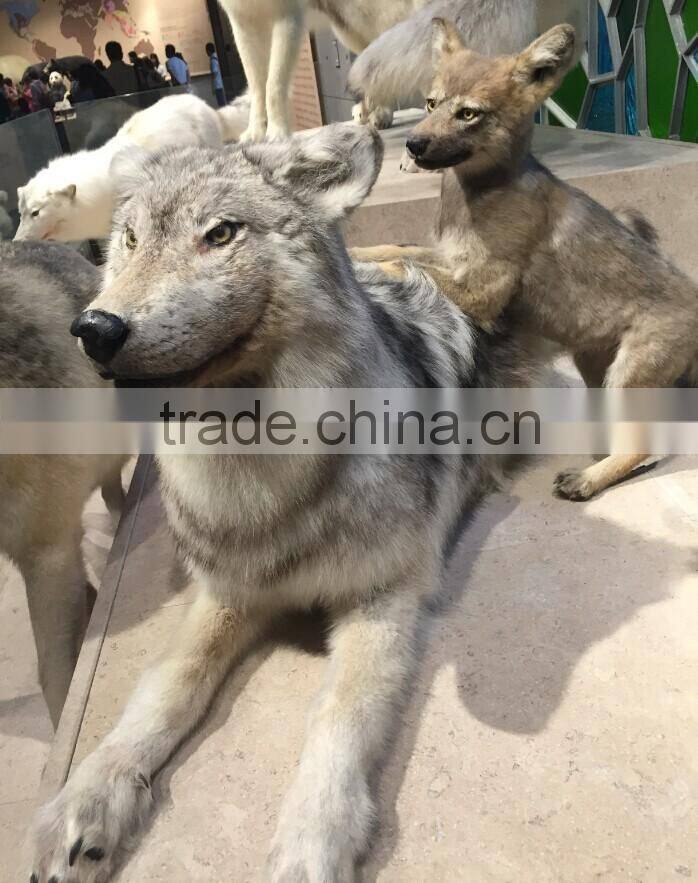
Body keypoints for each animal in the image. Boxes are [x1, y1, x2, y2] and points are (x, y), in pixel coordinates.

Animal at [28, 123, 543, 882]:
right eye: (130, 238)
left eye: (220, 233)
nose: (94, 328)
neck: (262, 477)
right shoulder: (225, 594)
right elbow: (164, 688)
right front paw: (87, 798)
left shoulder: (383, 600)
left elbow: (336, 722)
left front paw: (309, 846)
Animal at [219, 0, 579, 142]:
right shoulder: (242, 22)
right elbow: (257, 86)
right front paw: (255, 133)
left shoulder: (287, 18)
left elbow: (274, 85)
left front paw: (278, 133)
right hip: (349, 28)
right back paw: (372, 114)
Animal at [352, 21, 698, 502]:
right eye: (432, 103)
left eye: (469, 114)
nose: (413, 145)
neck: (477, 197)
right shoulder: (450, 257)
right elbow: (397, 249)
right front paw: (356, 250)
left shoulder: (483, 290)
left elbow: (405, 267)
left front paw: (362, 267)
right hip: (595, 366)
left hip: (628, 375)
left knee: (641, 445)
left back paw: (586, 480)